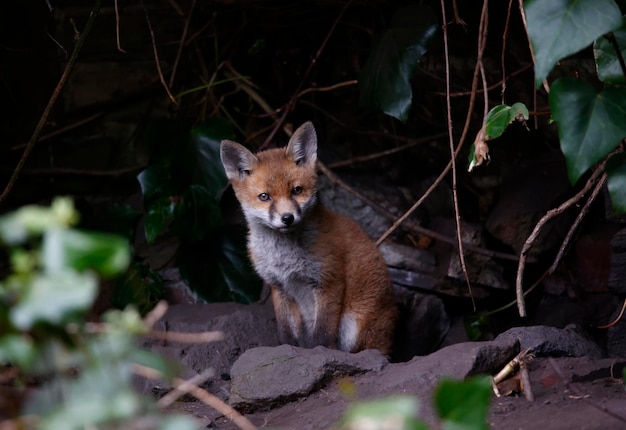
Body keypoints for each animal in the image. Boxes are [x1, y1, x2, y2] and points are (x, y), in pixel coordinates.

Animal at [219, 122, 394, 356]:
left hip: (353, 327)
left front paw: (319, 355)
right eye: (265, 197)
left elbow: (322, 336)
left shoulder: (329, 280)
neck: (284, 258)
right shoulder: (279, 287)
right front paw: (287, 351)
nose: (287, 218)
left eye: (297, 190)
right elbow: (286, 333)